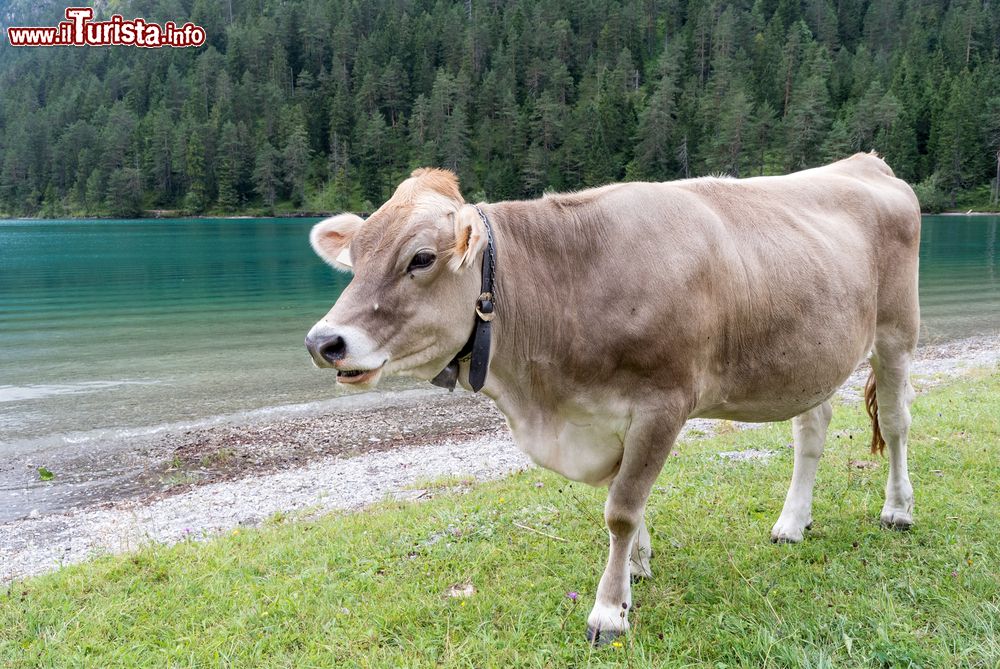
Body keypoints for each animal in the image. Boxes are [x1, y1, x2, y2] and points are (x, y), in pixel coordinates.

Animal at [304, 154, 920, 644]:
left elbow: (621, 509)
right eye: (355, 258)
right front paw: (635, 574)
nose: (322, 342)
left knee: (894, 423)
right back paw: (792, 522)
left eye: (421, 259)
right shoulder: (602, 416)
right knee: (811, 430)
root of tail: (865, 161)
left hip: (896, 333)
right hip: (808, 358)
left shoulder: (662, 404)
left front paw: (608, 610)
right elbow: (629, 497)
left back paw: (896, 509)